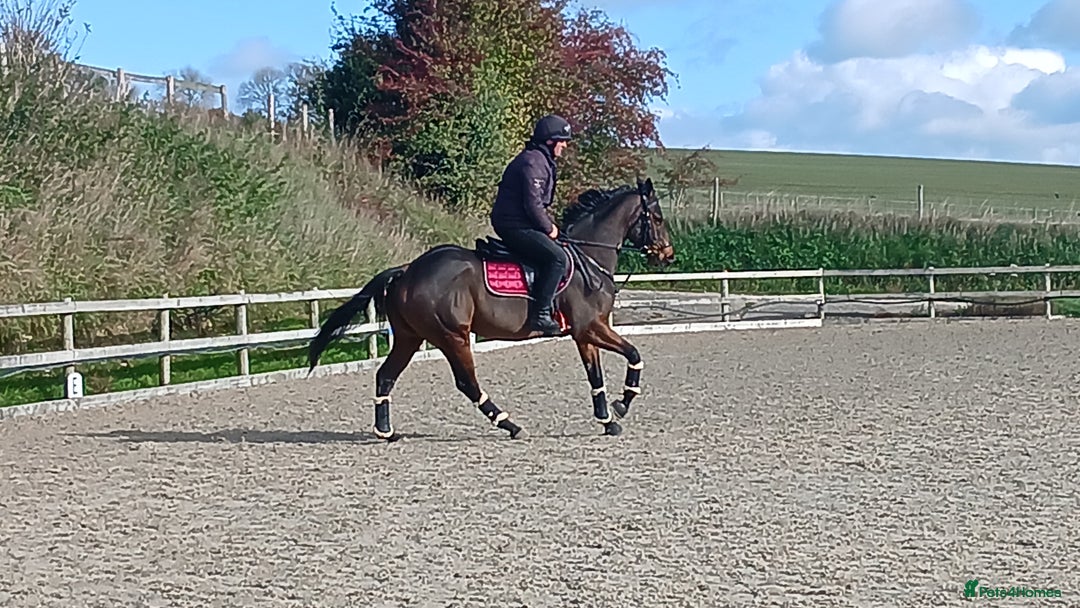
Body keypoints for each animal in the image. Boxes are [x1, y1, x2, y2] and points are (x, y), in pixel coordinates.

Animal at [306, 177, 676, 440]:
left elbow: (595, 376)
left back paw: (386, 431)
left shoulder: (585, 334)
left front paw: (608, 419)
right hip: (452, 336)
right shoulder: (592, 327)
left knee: (385, 375)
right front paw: (622, 404)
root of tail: (408, 270)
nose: (668, 254)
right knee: (466, 383)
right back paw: (509, 424)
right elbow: (634, 354)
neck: (588, 256)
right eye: (657, 217)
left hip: (410, 338)